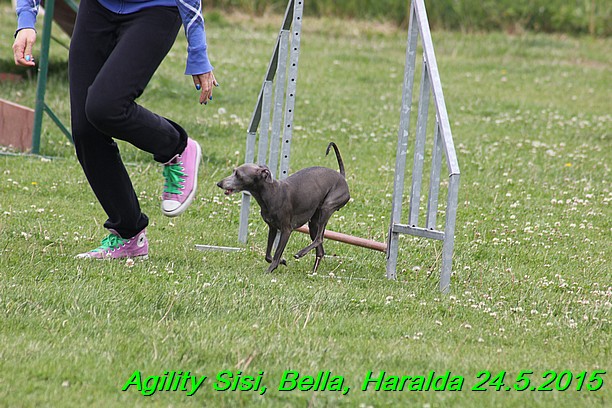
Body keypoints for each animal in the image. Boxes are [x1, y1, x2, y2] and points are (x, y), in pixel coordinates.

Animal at [216, 142, 350, 272]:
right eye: (233, 171)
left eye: (238, 174)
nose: (219, 183)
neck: (272, 193)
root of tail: (341, 177)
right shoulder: (272, 228)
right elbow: (268, 255)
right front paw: (282, 261)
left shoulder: (286, 230)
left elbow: (276, 254)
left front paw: (270, 270)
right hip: (313, 223)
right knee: (320, 250)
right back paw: (313, 273)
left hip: (327, 208)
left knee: (319, 239)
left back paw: (300, 253)